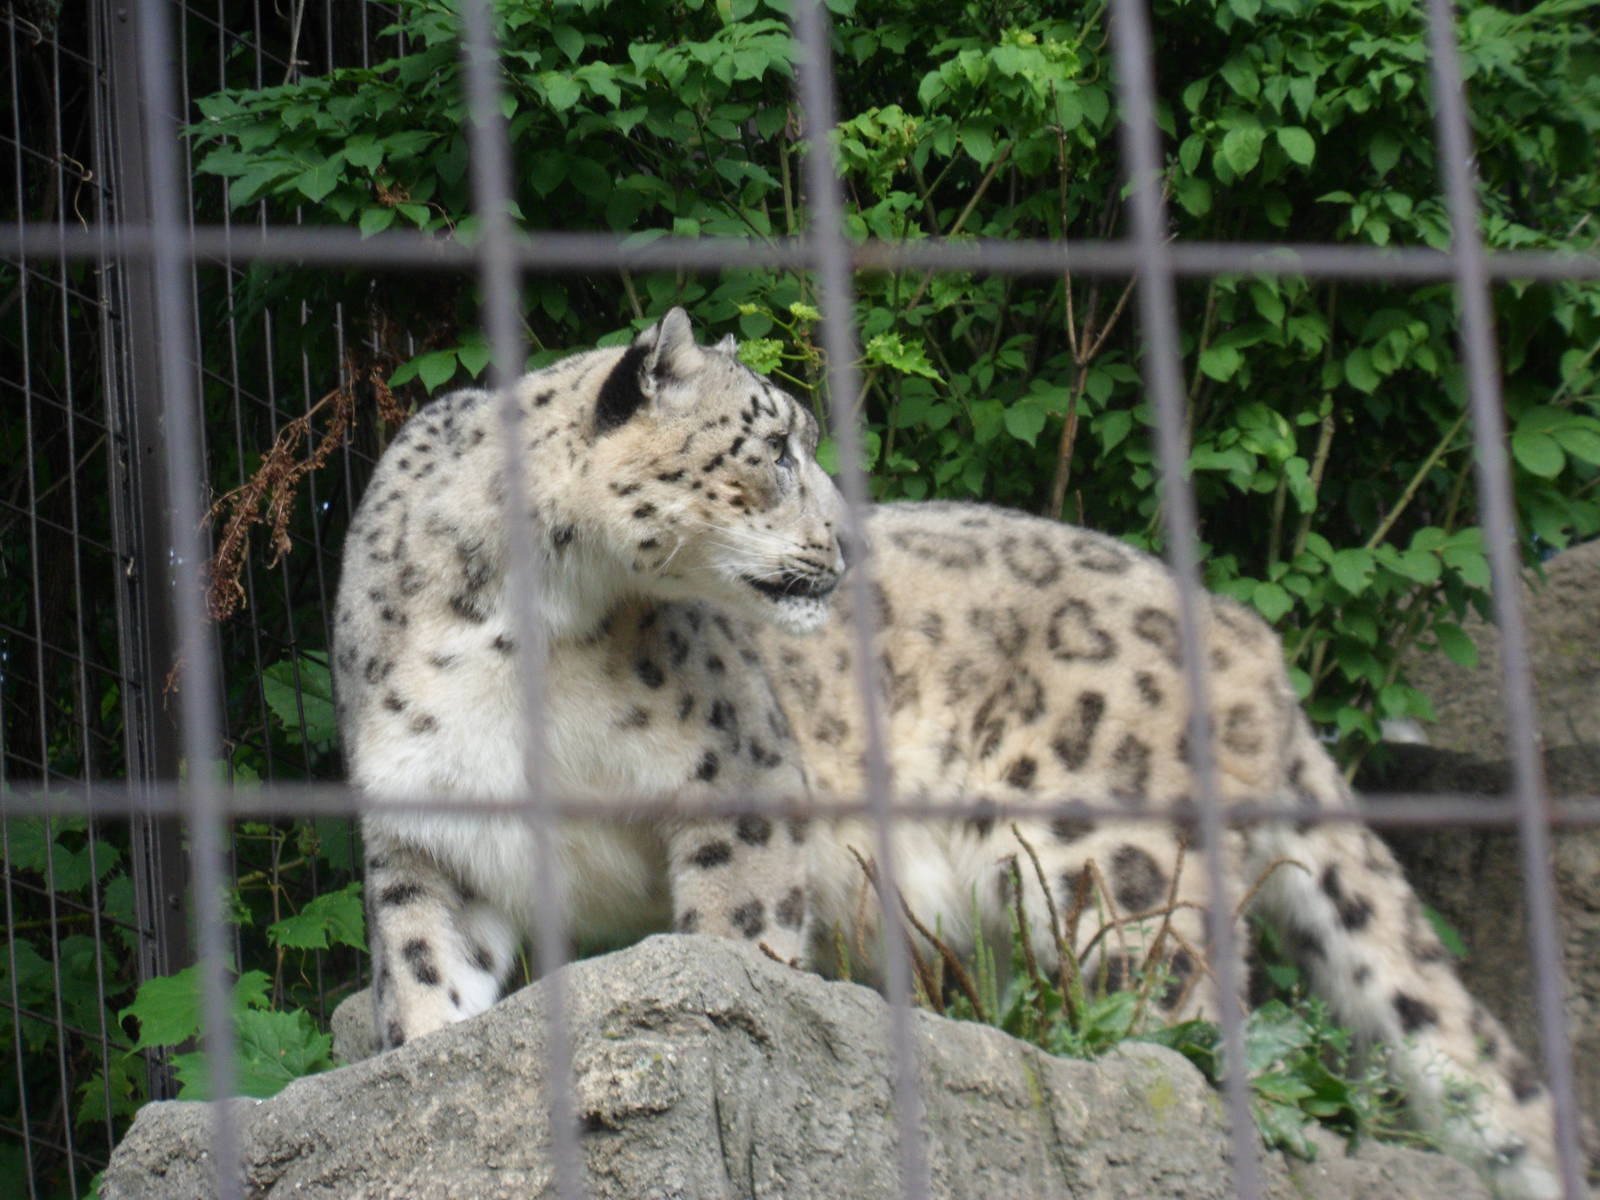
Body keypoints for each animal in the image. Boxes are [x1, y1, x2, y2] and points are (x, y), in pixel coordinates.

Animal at [333, 307, 1566, 1199]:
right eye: (774, 450)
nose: (840, 541)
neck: (525, 631)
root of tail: (1241, 630)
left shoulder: (739, 780)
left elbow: (736, 939)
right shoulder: (424, 833)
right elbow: (429, 978)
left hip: (1114, 866)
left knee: (1181, 1013)